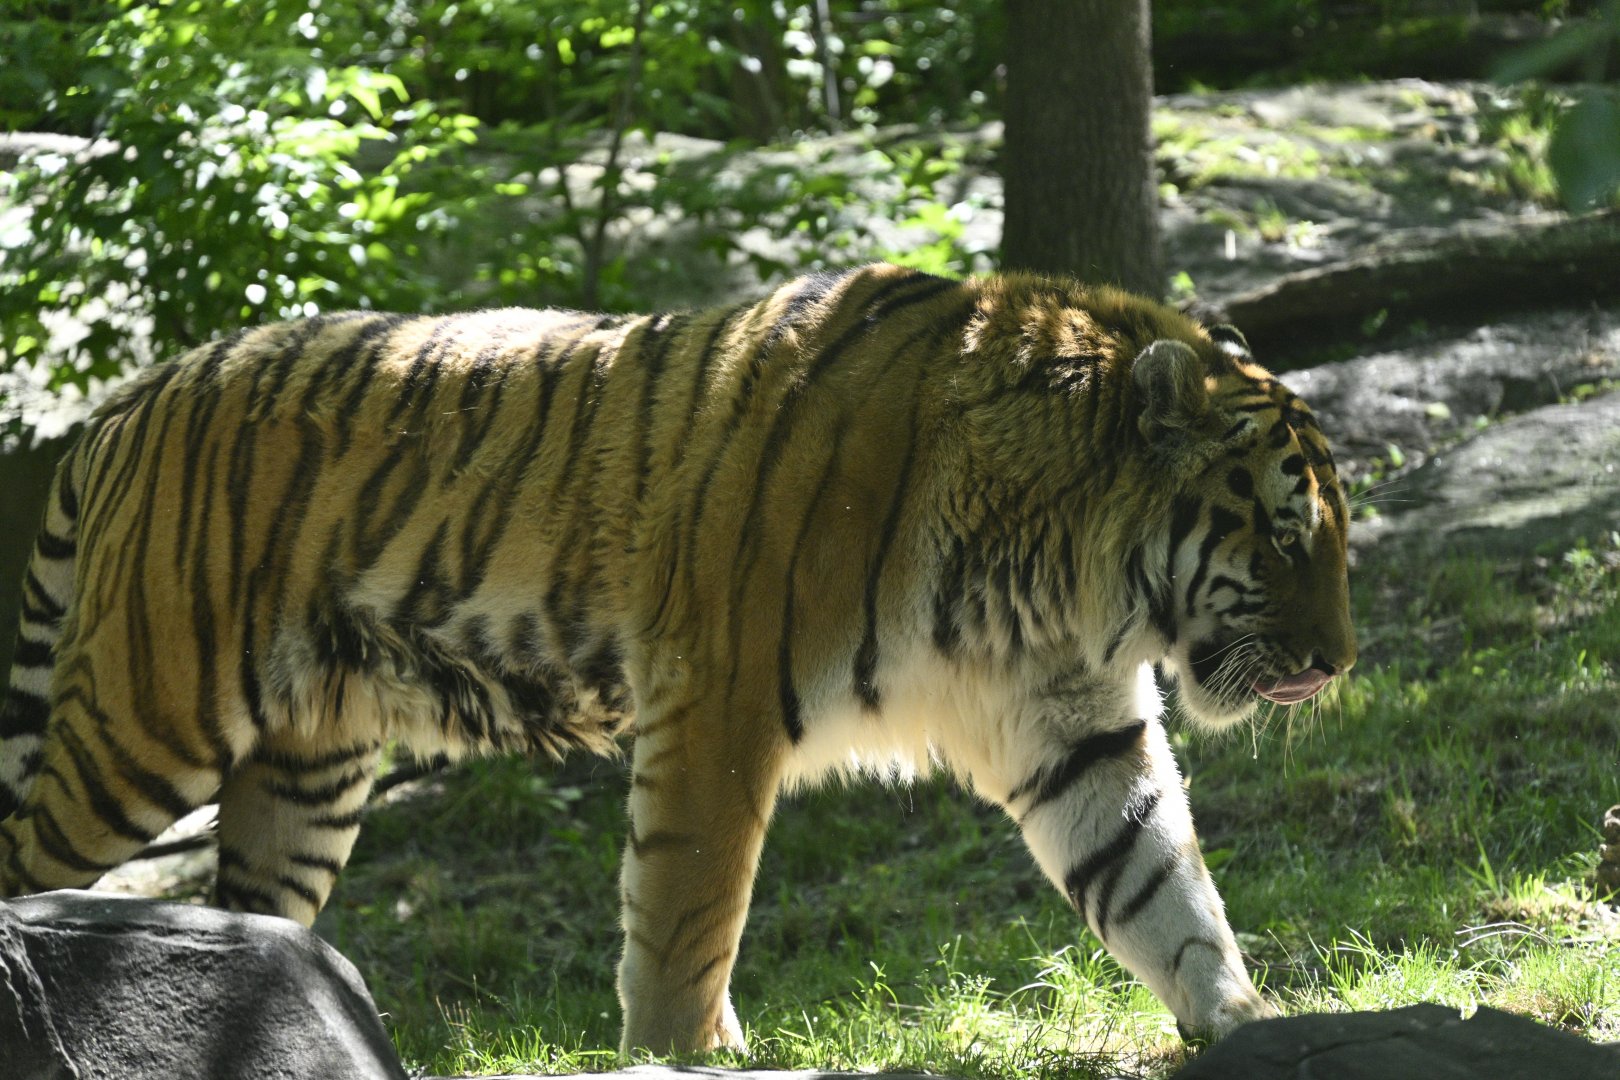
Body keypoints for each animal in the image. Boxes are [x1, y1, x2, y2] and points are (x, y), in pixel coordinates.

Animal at [0, 263, 1355, 1053]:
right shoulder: (721, 701)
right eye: (1287, 535)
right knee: (31, 856)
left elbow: (1160, 884)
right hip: (144, 723)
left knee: (249, 930)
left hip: (303, 780)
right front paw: (682, 1052)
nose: (1342, 664)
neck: (1065, 573)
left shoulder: (1072, 720)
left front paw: (1243, 1021)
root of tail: (127, 400)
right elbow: (687, 908)